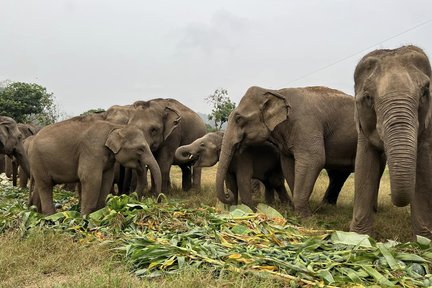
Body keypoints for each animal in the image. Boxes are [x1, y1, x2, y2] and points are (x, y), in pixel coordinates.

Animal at [27, 116, 162, 215]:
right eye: (140, 149)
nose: (158, 200)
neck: (115, 127)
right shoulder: (92, 149)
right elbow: (91, 178)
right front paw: (85, 218)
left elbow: (107, 179)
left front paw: (99, 213)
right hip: (37, 160)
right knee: (45, 185)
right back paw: (50, 216)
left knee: (40, 186)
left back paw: (36, 213)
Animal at [216, 86, 358, 216]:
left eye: (238, 119)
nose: (229, 194)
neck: (276, 91)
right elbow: (288, 164)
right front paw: (299, 213)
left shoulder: (306, 125)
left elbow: (314, 160)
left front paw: (305, 218)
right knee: (338, 175)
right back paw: (327, 207)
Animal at [352, 45, 432, 238]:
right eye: (368, 97)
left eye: (425, 92)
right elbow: (364, 165)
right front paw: (358, 237)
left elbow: (424, 168)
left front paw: (423, 240)